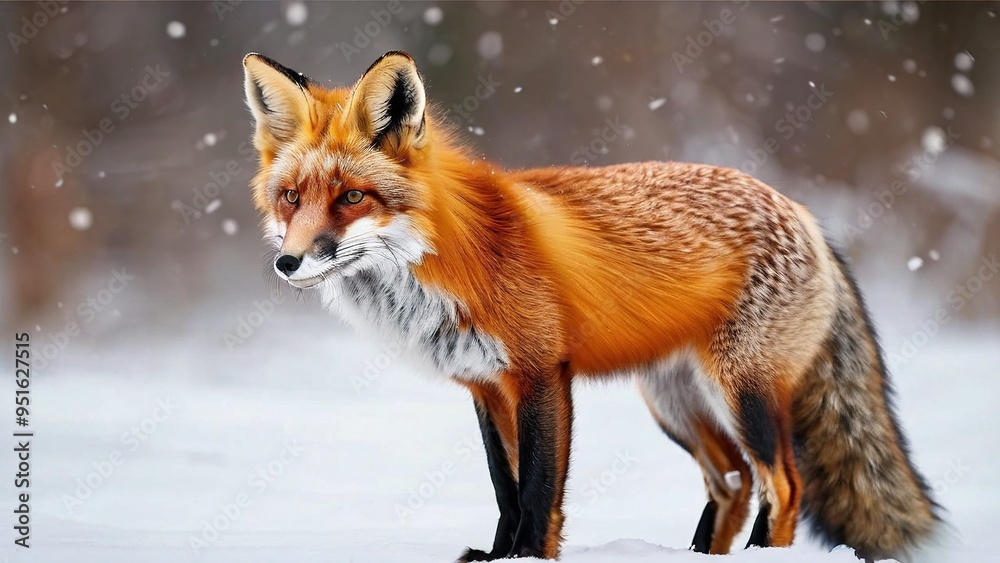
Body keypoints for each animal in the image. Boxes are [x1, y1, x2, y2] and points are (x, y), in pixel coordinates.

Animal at [241, 51, 940, 561]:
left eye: (352, 197)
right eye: (291, 197)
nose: (288, 263)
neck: (447, 260)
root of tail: (803, 212)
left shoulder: (541, 374)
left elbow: (538, 493)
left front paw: (525, 559)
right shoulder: (485, 386)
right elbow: (505, 490)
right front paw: (497, 557)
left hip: (742, 389)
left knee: (783, 486)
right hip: (674, 402)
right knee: (735, 483)